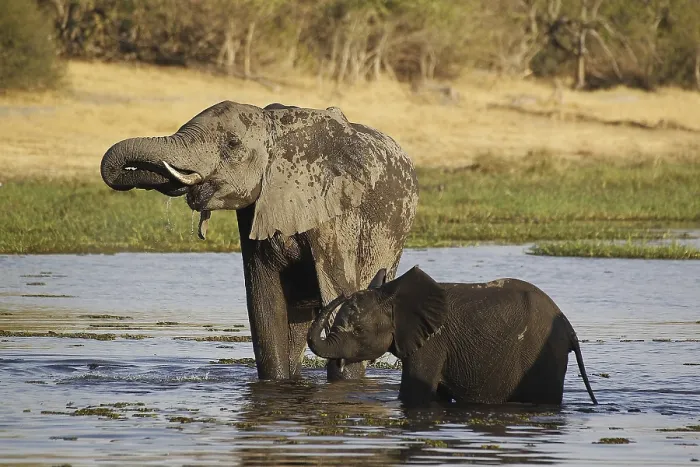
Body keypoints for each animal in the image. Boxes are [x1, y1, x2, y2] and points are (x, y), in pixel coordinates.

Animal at [99, 100, 418, 381]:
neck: (274, 127)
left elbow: (340, 298)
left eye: (232, 143)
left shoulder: (335, 213)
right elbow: (265, 307)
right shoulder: (254, 208)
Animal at [307, 266, 599, 406]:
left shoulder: (432, 343)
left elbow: (414, 395)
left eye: (359, 331)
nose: (342, 293)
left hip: (545, 356)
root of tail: (568, 327)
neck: (395, 297)